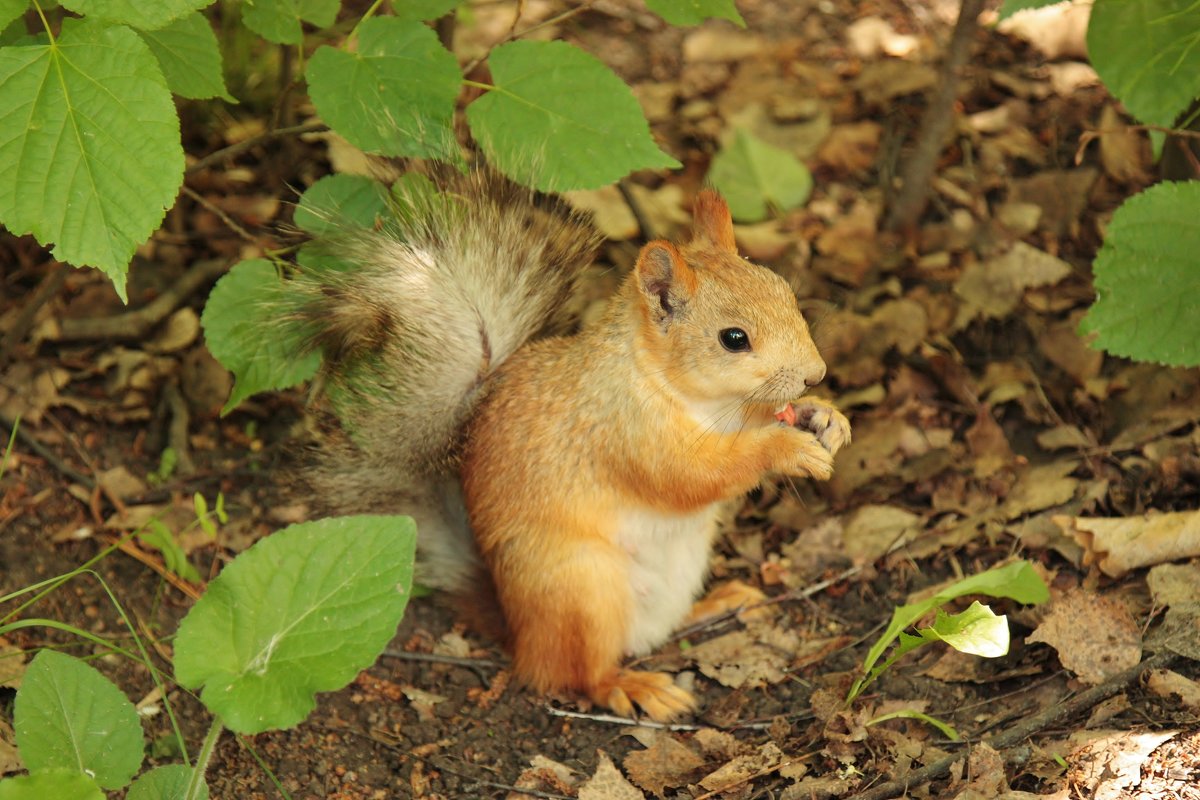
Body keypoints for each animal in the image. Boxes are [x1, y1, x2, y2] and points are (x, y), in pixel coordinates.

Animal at [294, 167, 849, 719]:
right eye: (733, 339)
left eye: (786, 294)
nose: (815, 374)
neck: (702, 400)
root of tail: (519, 633)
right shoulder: (623, 431)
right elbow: (691, 475)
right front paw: (786, 449)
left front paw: (826, 416)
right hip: (581, 590)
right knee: (577, 673)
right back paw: (631, 686)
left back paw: (720, 602)